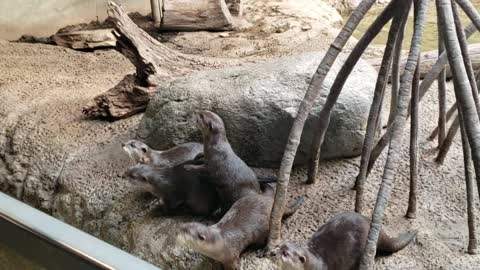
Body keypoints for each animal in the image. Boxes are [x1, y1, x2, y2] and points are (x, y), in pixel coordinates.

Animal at [176, 190, 304, 270]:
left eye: (185, 231)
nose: (178, 229)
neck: (220, 242)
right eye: (184, 226)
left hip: (267, 226)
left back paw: (262, 250)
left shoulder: (231, 256)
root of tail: (274, 204)